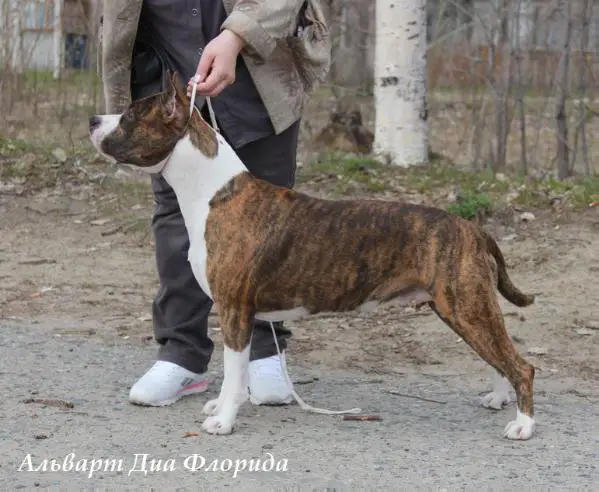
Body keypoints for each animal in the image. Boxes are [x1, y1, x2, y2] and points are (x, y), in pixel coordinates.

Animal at [89, 71, 537, 440]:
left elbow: (234, 371)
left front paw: (224, 420)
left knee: (520, 364)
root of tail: (471, 227)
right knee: (498, 356)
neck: (212, 191)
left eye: (130, 116)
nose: (94, 120)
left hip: (466, 307)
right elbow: (235, 372)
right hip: (463, 310)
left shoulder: (234, 309)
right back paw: (500, 399)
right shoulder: (241, 313)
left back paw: (523, 425)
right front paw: (221, 406)